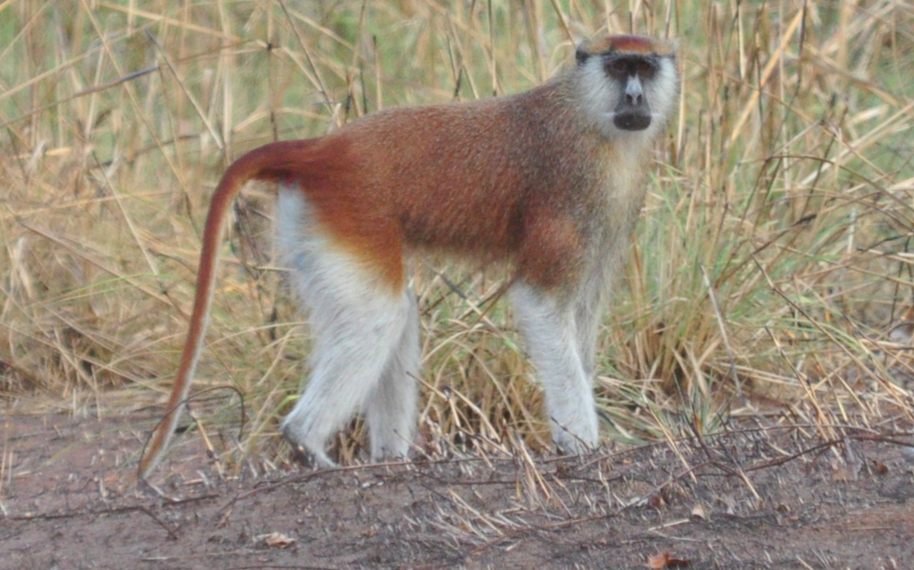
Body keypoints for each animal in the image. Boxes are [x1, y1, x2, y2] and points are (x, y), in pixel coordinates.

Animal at [138, 34, 679, 478]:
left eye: (645, 68)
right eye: (618, 67)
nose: (635, 97)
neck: (585, 114)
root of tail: (321, 150)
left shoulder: (608, 217)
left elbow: (581, 315)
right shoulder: (568, 191)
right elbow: (540, 304)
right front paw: (583, 444)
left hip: (314, 222)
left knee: (395, 316)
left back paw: (388, 459)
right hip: (353, 213)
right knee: (381, 315)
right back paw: (306, 441)